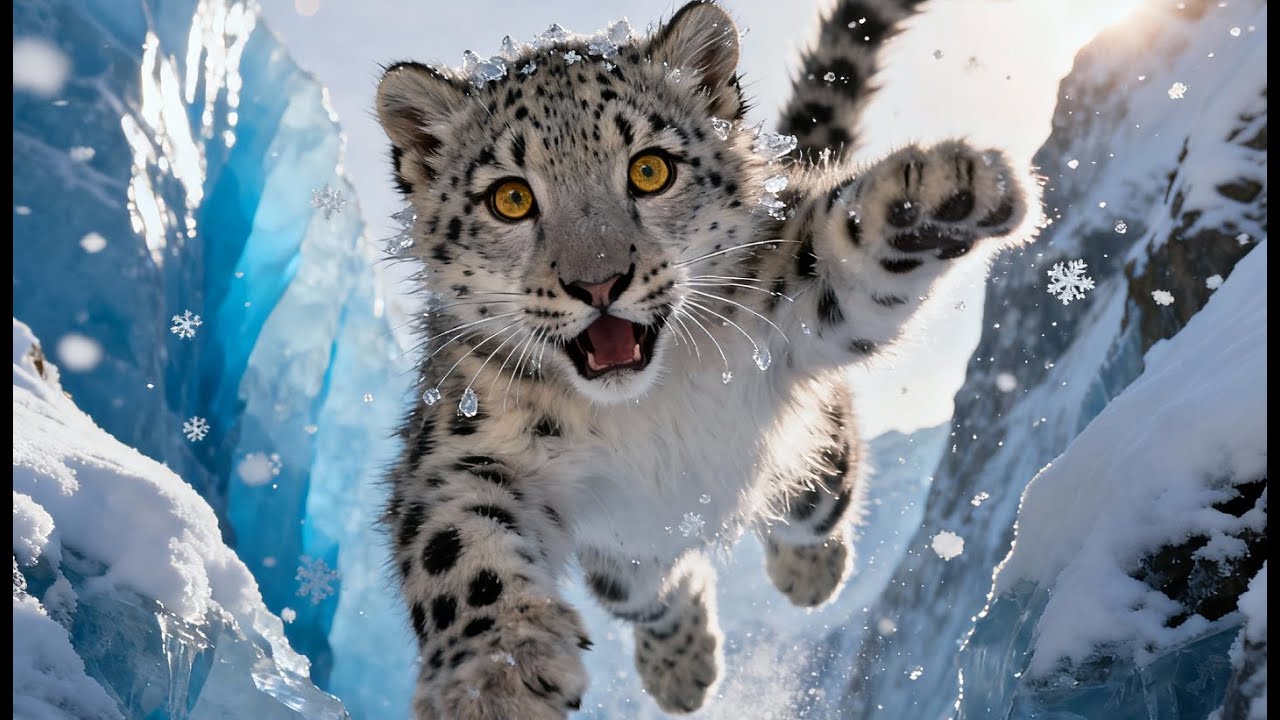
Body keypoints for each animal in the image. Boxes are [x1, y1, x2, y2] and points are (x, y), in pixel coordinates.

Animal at [375, 1, 1038, 717]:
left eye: (650, 169)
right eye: (511, 197)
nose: (599, 283)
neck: (642, 405)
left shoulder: (785, 300)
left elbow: (839, 252)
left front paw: (939, 193)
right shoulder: (464, 443)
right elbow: (459, 551)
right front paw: (494, 678)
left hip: (813, 459)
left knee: (820, 492)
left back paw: (810, 572)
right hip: (623, 556)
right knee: (658, 593)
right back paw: (682, 672)